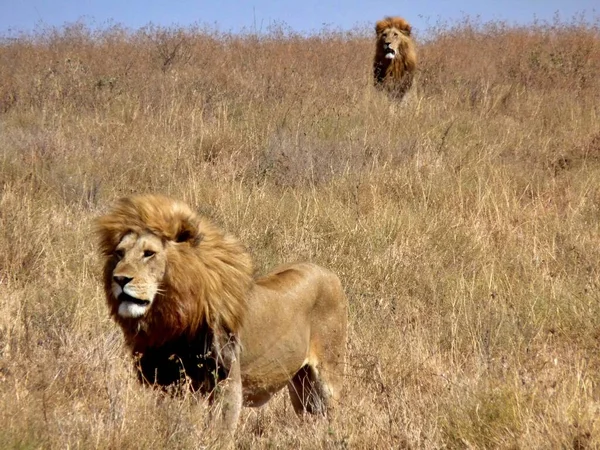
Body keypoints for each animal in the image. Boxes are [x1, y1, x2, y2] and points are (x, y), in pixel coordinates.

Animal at [94, 195, 346, 442]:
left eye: (149, 253)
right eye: (119, 253)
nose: (119, 279)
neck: (173, 320)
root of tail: (329, 273)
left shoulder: (228, 381)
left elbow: (221, 433)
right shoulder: (170, 383)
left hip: (328, 374)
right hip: (299, 383)